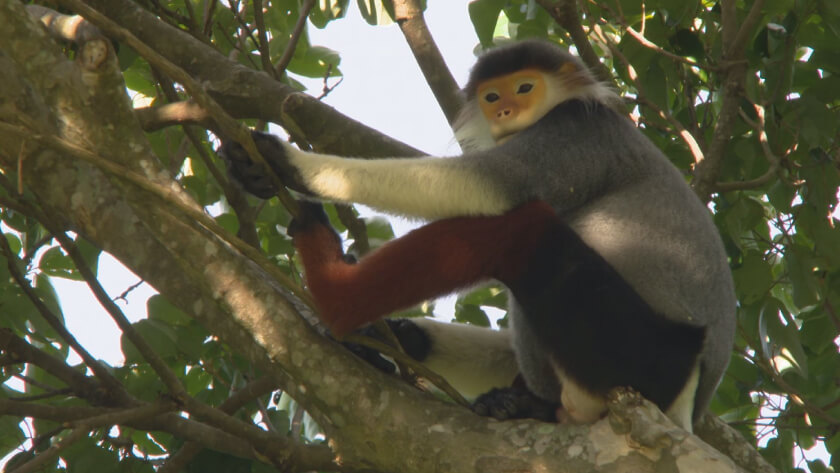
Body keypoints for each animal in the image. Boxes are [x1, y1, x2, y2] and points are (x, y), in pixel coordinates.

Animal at [221, 40, 736, 432]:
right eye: (492, 97)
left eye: (525, 87)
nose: (506, 109)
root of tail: (688, 403)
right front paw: (256, 171)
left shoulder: (578, 130)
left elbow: (487, 187)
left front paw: (289, 165)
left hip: (634, 352)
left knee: (521, 230)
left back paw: (334, 296)